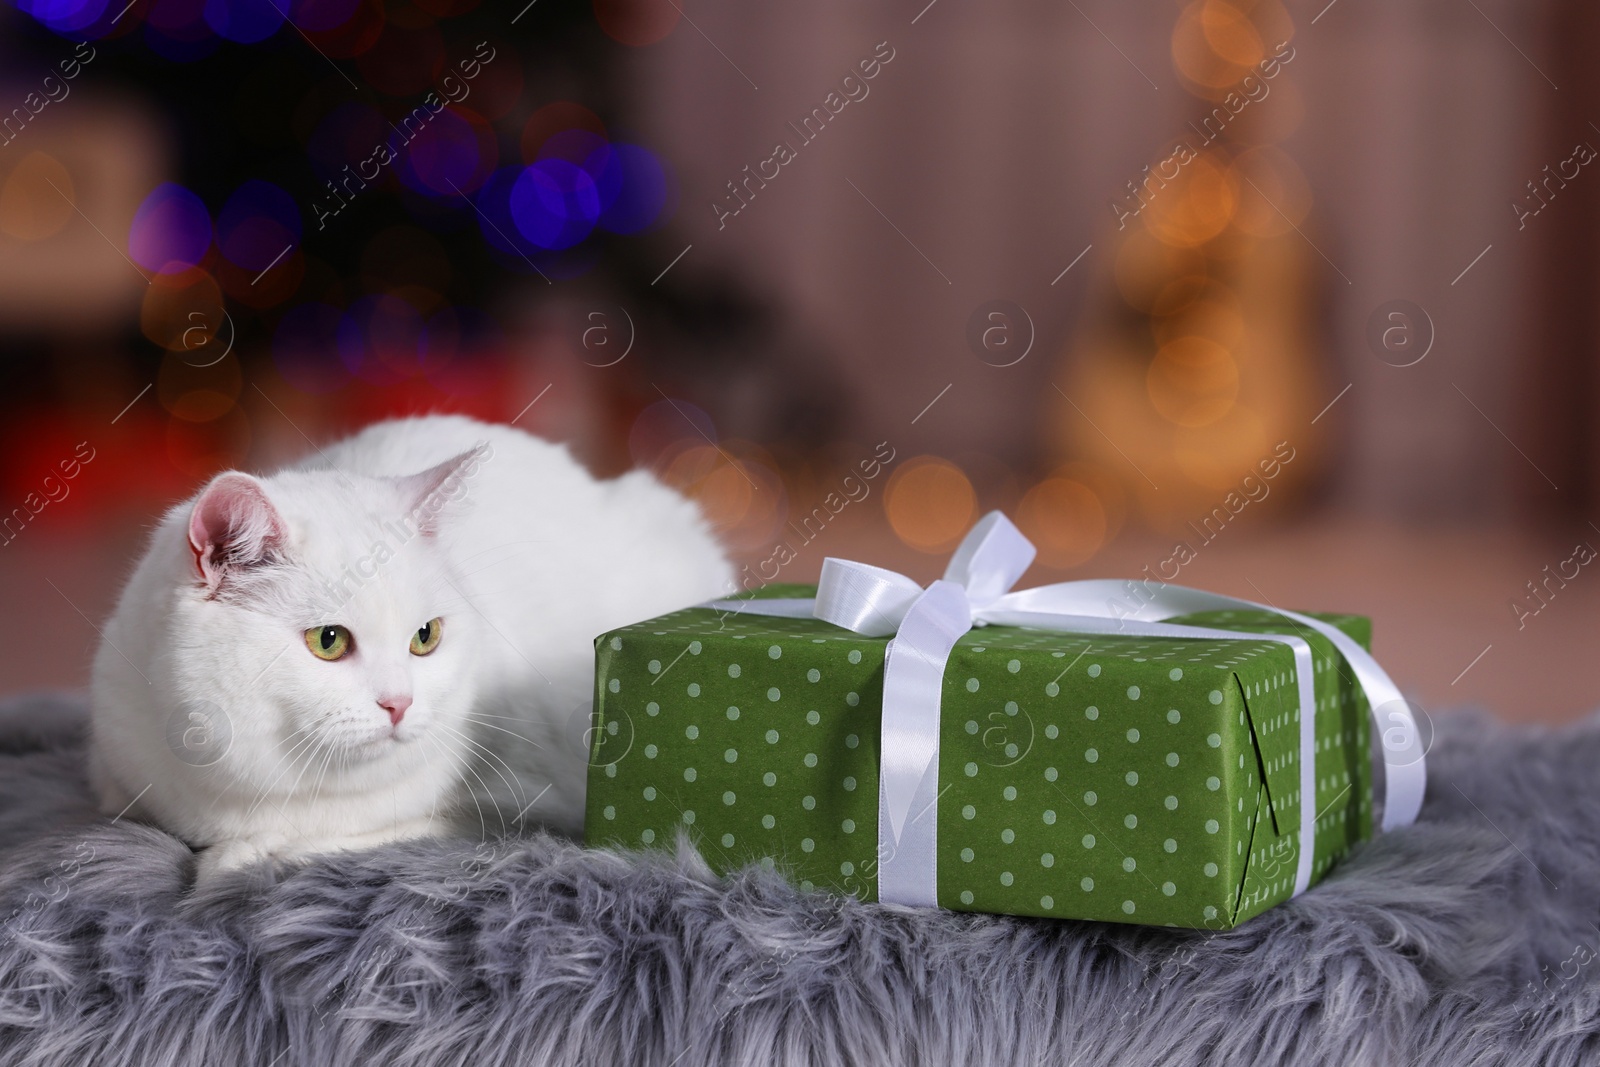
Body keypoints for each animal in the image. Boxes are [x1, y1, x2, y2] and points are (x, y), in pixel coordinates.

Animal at [90, 412, 729, 883]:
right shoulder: (119, 772)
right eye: (328, 641)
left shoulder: (531, 801)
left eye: (426, 636)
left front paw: (239, 860)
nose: (400, 703)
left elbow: (353, 834)